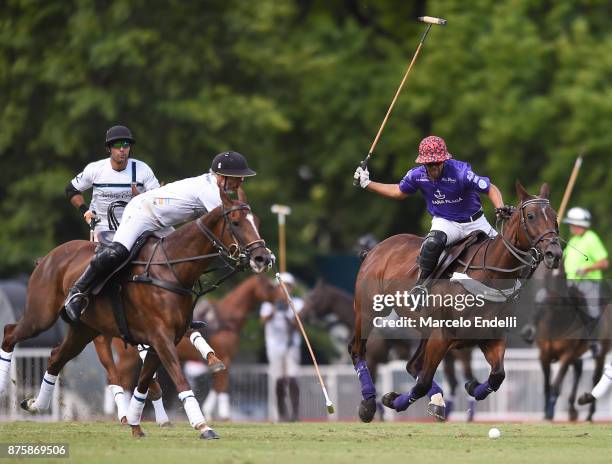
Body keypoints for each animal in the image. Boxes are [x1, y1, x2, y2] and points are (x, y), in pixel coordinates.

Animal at [0, 191, 272, 438]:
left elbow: (145, 382)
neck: (172, 270)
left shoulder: (161, 341)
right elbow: (179, 379)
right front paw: (203, 426)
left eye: (257, 222)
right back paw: (5, 390)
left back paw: (36, 405)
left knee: (56, 356)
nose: (263, 258)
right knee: (10, 333)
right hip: (41, 316)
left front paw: (135, 424)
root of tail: (47, 257)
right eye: (235, 222)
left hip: (84, 329)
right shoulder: (161, 338)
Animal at [350, 183, 564, 422]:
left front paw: (470, 387)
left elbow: (497, 375)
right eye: (531, 216)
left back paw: (435, 401)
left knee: (412, 365)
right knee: (357, 350)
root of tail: (375, 249)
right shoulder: (442, 336)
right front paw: (390, 401)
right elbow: (423, 383)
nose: (554, 253)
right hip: (368, 311)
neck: (490, 273)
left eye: (554, 217)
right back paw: (368, 404)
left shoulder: (489, 335)